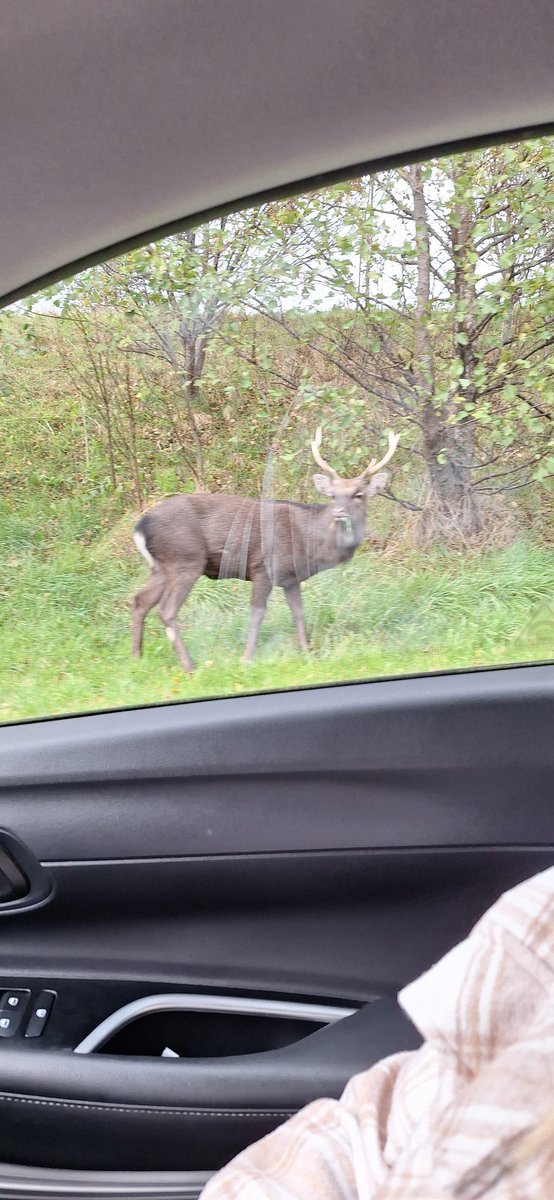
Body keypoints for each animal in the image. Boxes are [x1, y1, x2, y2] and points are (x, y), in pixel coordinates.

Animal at [132, 428, 399, 670]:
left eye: (359, 494)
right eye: (333, 495)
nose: (339, 513)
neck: (310, 542)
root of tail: (141, 526)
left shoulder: (291, 578)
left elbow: (298, 612)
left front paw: (307, 653)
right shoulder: (263, 568)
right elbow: (257, 614)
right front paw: (247, 659)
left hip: (161, 567)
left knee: (139, 600)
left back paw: (137, 658)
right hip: (185, 559)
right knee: (166, 609)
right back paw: (189, 665)